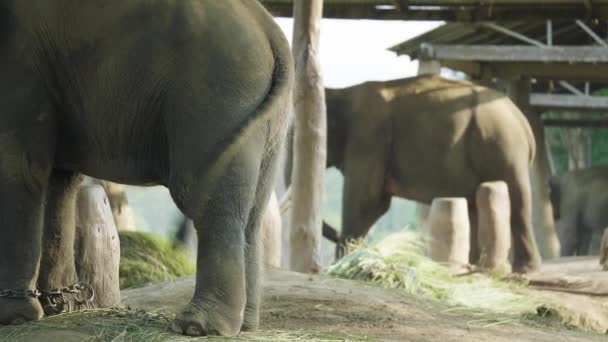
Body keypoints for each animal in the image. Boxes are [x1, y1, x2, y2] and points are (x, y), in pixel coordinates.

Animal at [0, 0, 292, 336]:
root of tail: (270, 30)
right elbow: (58, 178)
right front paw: (57, 307)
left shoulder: (20, 63)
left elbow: (22, 168)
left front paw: (15, 317)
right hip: (262, 117)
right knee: (253, 215)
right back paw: (245, 326)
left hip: (216, 94)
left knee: (205, 199)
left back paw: (198, 326)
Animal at [324, 75, 540, 272]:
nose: (371, 247)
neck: (340, 92)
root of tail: (522, 121)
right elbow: (377, 204)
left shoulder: (368, 136)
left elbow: (366, 201)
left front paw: (340, 265)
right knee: (477, 204)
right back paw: (472, 265)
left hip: (502, 146)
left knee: (518, 201)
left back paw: (524, 270)